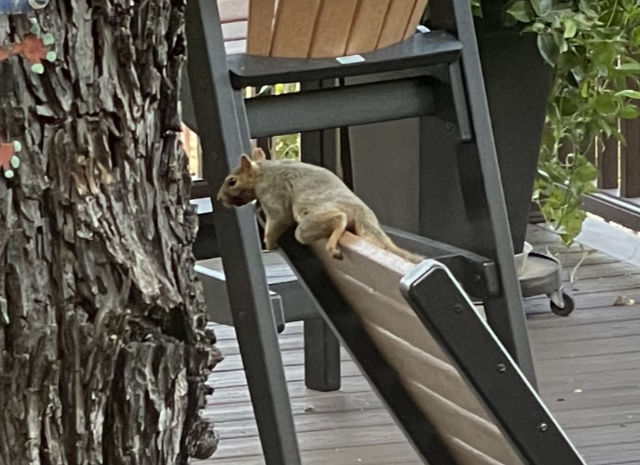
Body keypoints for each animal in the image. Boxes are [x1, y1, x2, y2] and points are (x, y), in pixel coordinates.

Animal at [216, 149, 424, 264]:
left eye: (232, 182)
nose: (219, 199)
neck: (263, 170)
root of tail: (360, 212)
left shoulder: (272, 192)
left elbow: (279, 217)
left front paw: (269, 243)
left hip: (309, 222)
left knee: (338, 218)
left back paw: (333, 243)